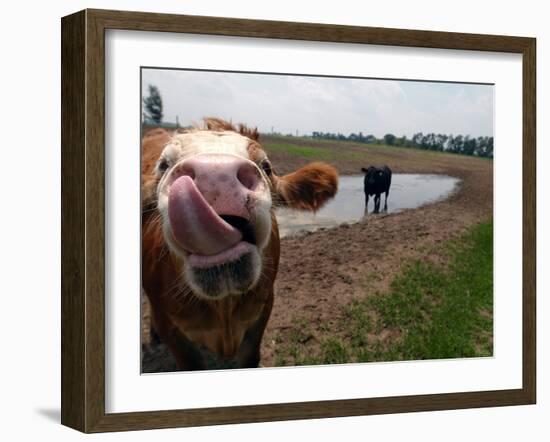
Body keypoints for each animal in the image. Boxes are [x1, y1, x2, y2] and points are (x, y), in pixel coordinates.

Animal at [142, 117, 338, 370]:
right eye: (163, 165)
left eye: (266, 166)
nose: (215, 175)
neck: (223, 308)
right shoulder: (169, 326)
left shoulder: (262, 310)